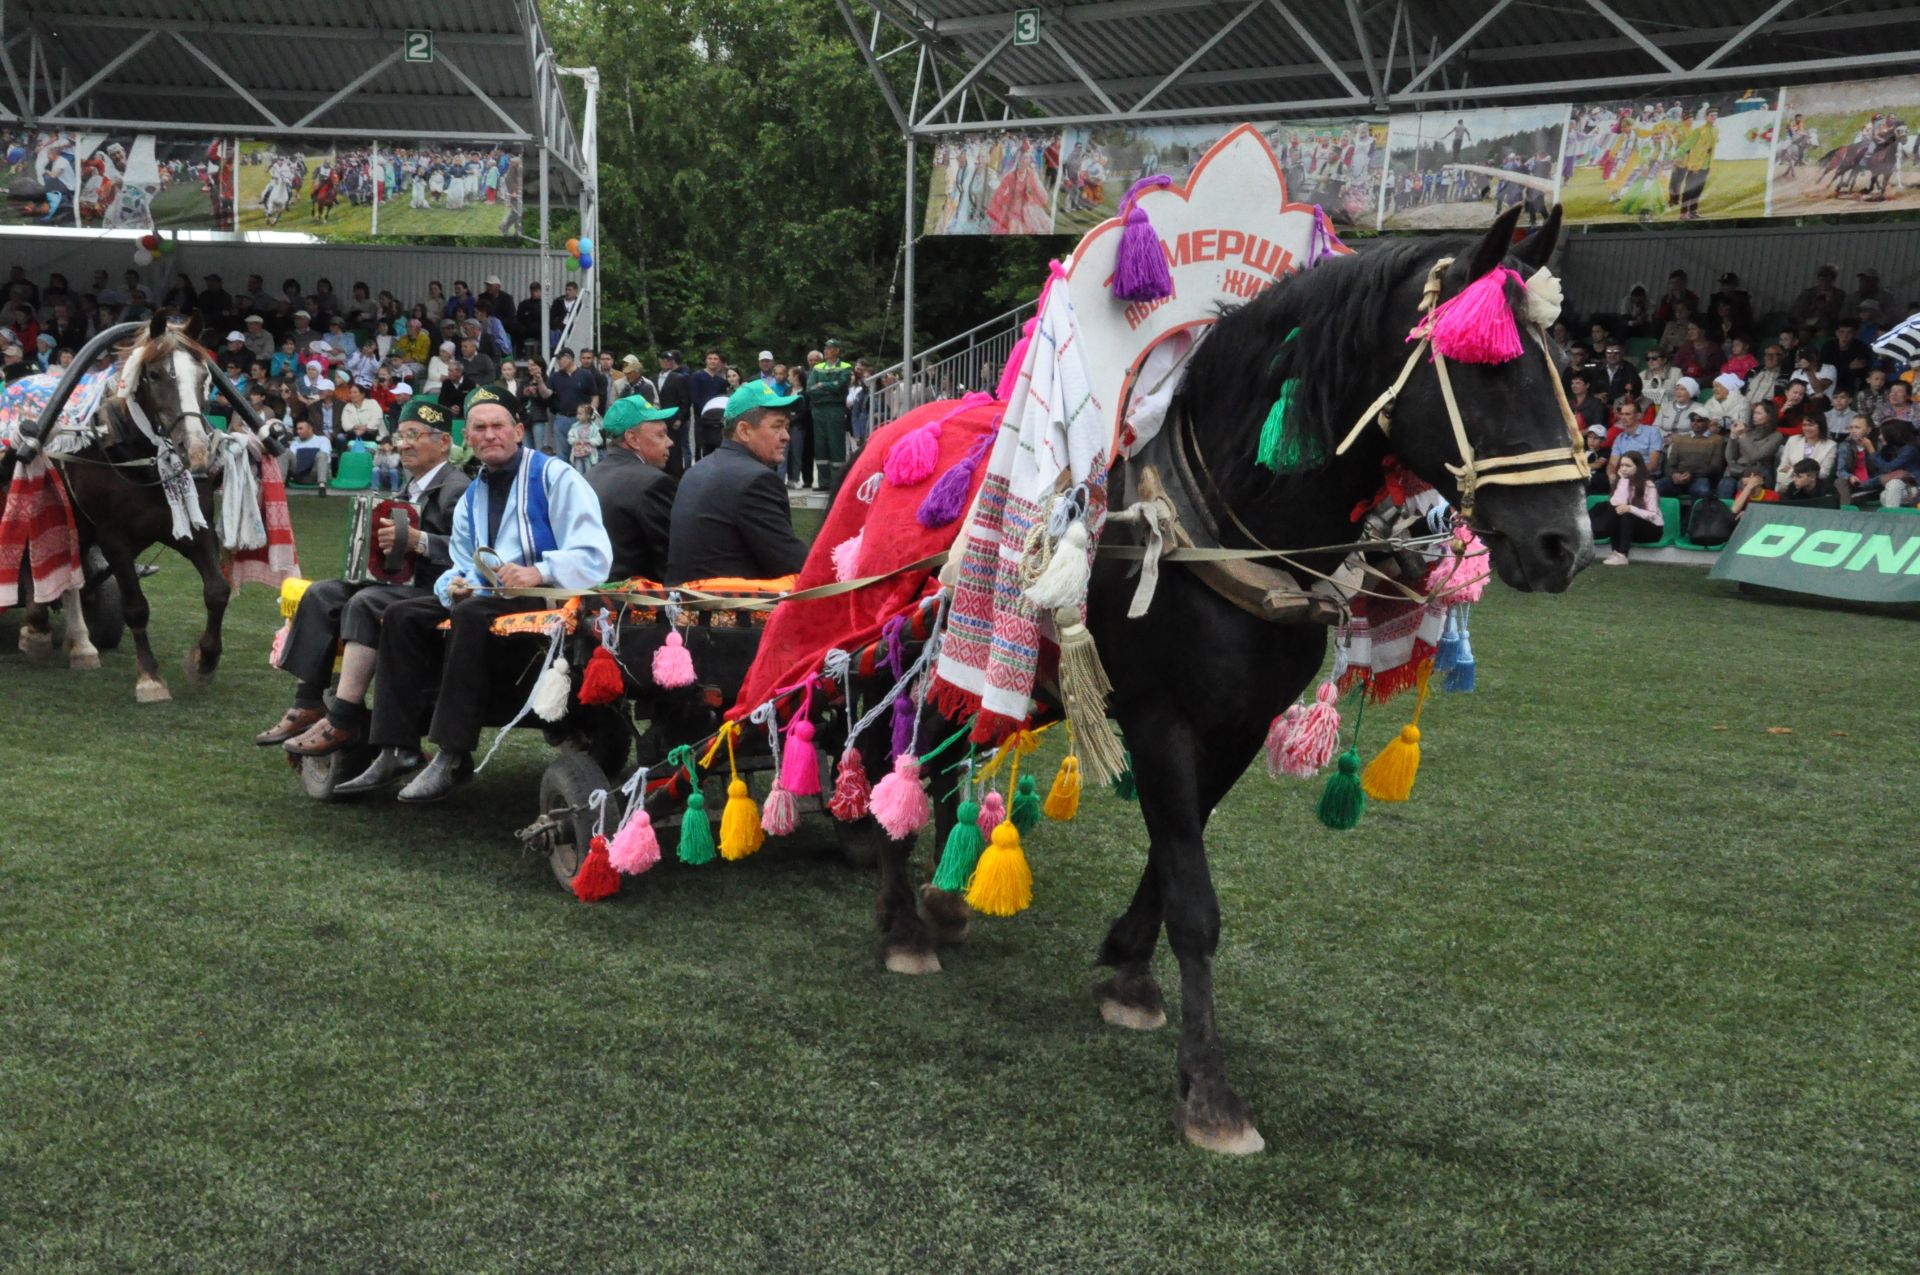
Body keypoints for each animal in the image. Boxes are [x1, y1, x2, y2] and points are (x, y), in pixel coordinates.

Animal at [848, 204, 1582, 1152]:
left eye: (1564, 363)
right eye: (1485, 369)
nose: (1564, 542)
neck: (1226, 521)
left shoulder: (1237, 721)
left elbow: (1175, 857)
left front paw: (1128, 970)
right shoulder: (1158, 715)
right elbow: (1195, 897)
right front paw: (1209, 1087)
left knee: (942, 754)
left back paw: (943, 896)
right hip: (895, 652)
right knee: (889, 752)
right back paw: (903, 915)